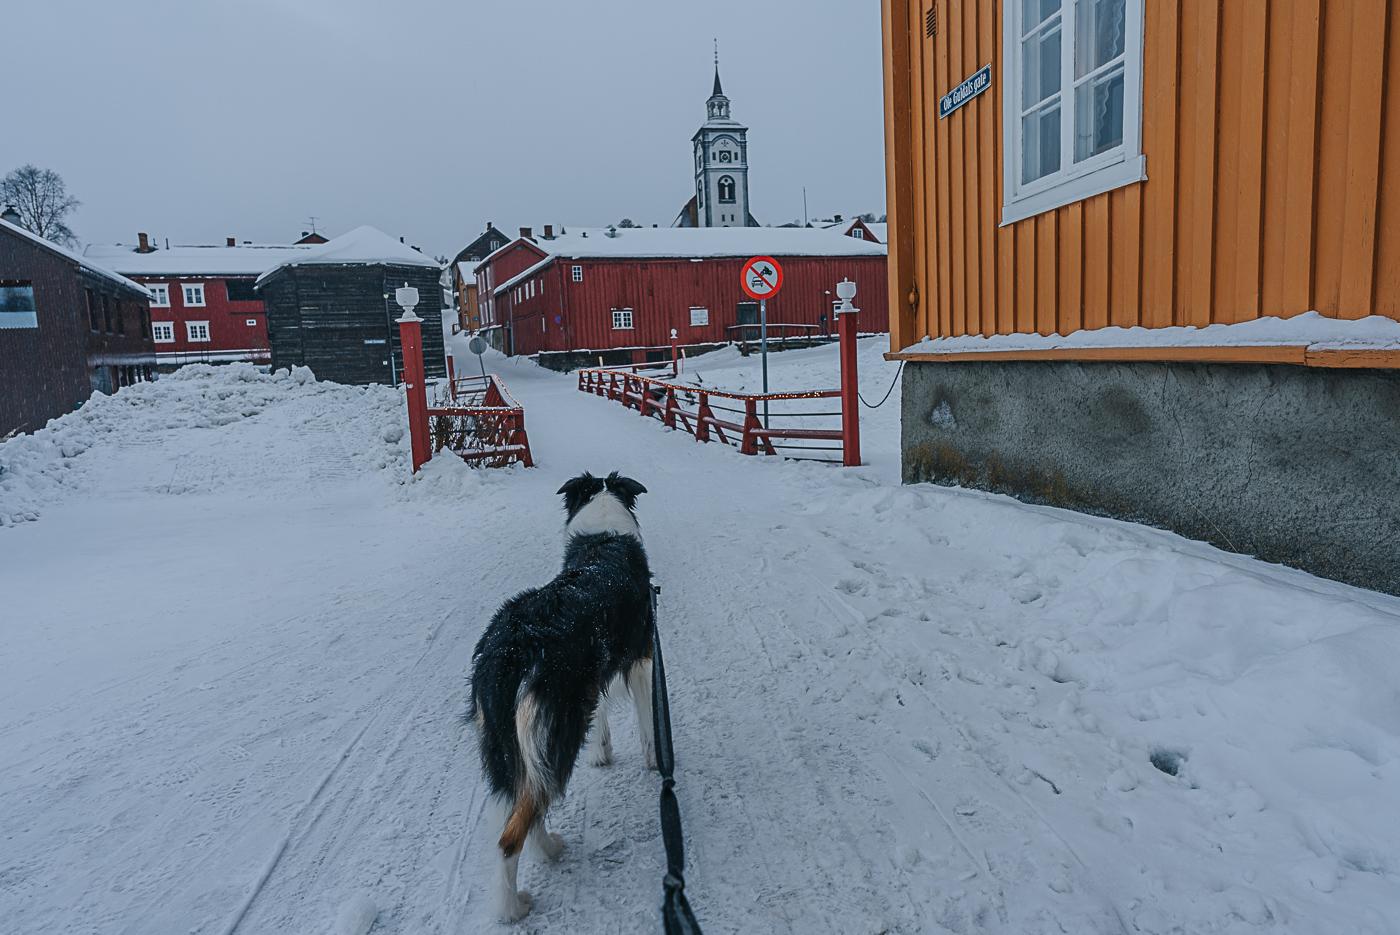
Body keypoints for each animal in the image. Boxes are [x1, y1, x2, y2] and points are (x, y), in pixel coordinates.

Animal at [464, 470, 649, 923]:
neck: (603, 537)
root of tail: (512, 650)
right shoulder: (643, 659)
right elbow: (649, 729)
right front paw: (658, 769)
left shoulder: (596, 682)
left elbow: (603, 723)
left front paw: (603, 755)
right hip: (558, 732)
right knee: (511, 835)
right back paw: (512, 908)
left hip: (514, 745)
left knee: (525, 803)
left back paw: (547, 849)